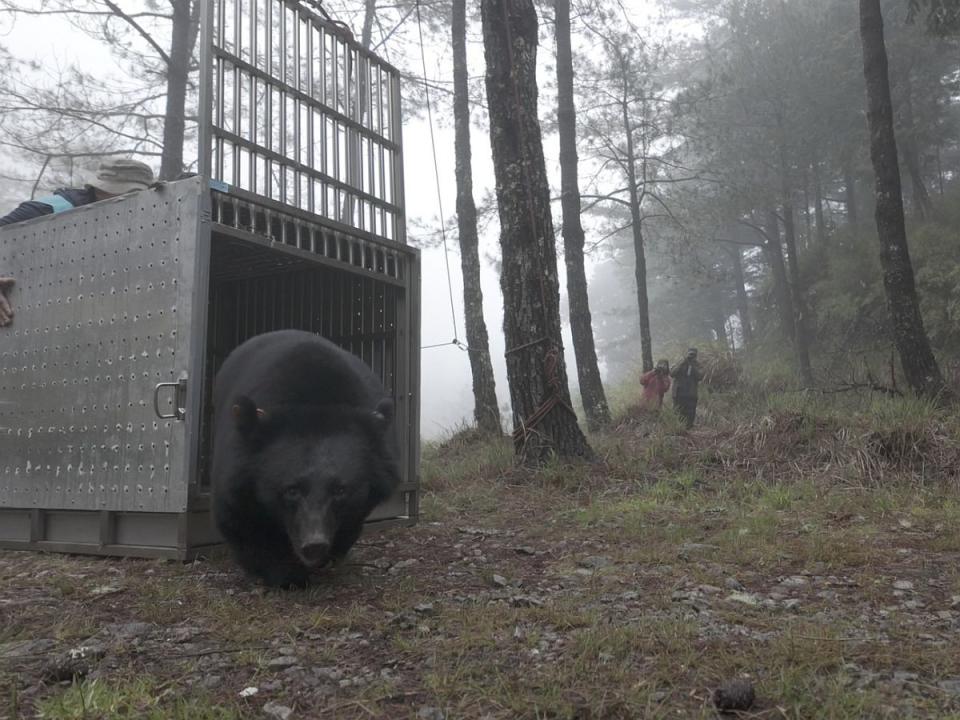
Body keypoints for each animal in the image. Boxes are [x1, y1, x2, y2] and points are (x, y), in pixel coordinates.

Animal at [211, 330, 402, 588]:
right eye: (291, 490)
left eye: (340, 490)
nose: (314, 545)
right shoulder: (237, 470)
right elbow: (240, 520)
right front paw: (286, 575)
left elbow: (352, 519)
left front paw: (328, 557)